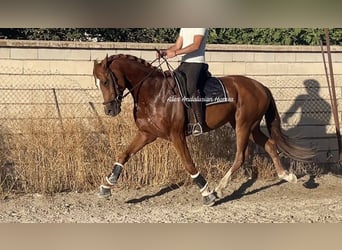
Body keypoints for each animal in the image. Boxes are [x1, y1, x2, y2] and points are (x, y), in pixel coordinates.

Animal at [92, 53, 314, 206]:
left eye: (105, 81)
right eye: (98, 83)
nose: (109, 109)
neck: (153, 92)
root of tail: (261, 86)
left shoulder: (176, 136)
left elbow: (189, 164)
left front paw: (206, 193)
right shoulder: (147, 134)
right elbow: (124, 155)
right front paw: (106, 186)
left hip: (243, 125)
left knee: (241, 156)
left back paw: (219, 189)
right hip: (247, 126)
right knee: (269, 144)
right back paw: (286, 175)